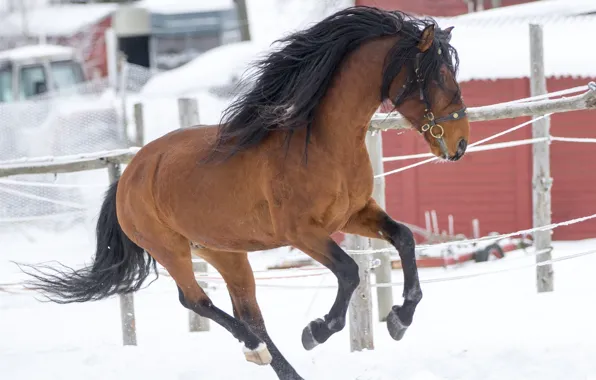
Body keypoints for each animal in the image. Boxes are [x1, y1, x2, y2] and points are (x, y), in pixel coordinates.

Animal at [19, 6, 470, 380]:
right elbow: (348, 271)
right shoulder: (302, 232)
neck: (323, 144)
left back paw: (282, 366)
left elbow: (404, 238)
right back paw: (256, 351)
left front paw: (399, 319)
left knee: (249, 315)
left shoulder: (356, 213)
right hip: (171, 249)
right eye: (435, 76)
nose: (460, 143)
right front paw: (316, 331)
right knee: (197, 302)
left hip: (225, 253)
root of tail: (129, 174)